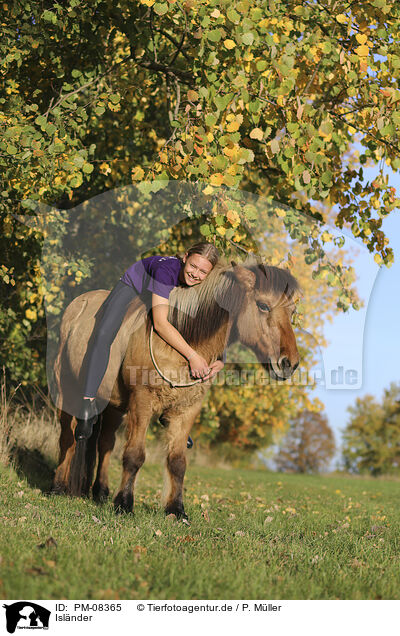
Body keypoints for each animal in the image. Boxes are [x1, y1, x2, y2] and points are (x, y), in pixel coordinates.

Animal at [51, 260, 298, 520]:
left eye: (292, 312)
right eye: (263, 305)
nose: (289, 363)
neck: (181, 342)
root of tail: (77, 305)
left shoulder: (186, 410)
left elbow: (177, 462)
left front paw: (176, 510)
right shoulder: (142, 402)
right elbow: (134, 455)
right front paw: (124, 504)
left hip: (113, 406)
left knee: (105, 443)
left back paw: (100, 492)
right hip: (66, 389)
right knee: (68, 437)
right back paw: (59, 487)